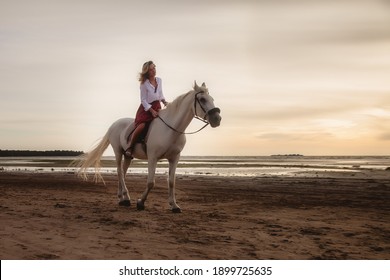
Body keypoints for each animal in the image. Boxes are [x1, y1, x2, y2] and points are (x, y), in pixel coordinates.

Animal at [77, 82, 221, 213]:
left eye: (212, 99)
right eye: (202, 99)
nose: (217, 119)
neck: (171, 129)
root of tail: (114, 124)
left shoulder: (174, 158)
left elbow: (171, 182)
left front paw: (174, 205)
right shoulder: (153, 157)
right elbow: (151, 182)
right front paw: (140, 202)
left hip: (128, 155)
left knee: (123, 172)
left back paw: (122, 198)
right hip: (118, 152)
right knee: (119, 172)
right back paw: (126, 198)